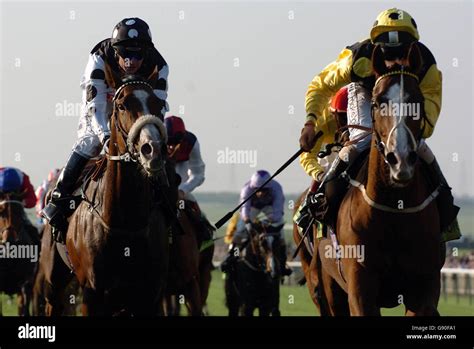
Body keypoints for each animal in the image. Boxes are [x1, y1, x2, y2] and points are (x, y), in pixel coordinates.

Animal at [44, 66, 172, 316]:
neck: (125, 223)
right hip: (55, 281)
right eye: (122, 105)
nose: (152, 150)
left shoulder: (149, 296)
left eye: (157, 104)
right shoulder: (92, 295)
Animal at [312, 43, 444, 316]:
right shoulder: (360, 290)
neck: (394, 209)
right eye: (377, 102)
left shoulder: (424, 290)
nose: (400, 159)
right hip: (329, 286)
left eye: (418, 101)